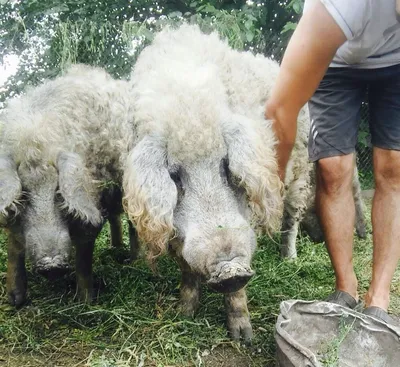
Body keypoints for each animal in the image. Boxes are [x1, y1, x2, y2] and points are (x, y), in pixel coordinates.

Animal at [0, 64, 137, 308]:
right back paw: (115, 248)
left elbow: (84, 256)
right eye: (24, 193)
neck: (36, 141)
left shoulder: (92, 203)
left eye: (59, 193)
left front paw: (85, 302)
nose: (52, 265)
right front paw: (15, 301)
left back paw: (133, 261)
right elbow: (14, 247)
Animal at [123, 25, 310, 342]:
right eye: (175, 175)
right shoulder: (176, 231)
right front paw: (184, 314)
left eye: (225, 165)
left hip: (302, 169)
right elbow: (186, 270)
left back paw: (289, 259)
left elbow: (239, 291)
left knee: (292, 219)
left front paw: (244, 337)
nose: (230, 268)